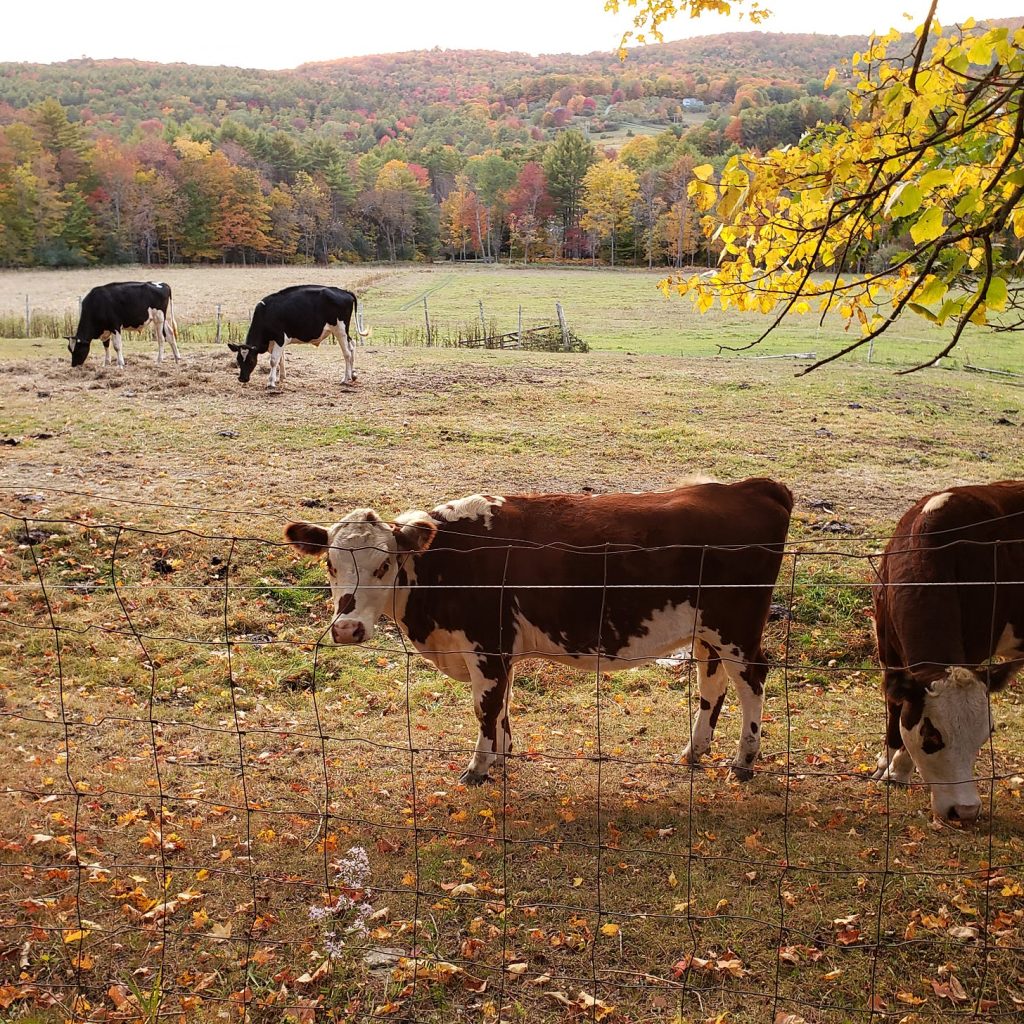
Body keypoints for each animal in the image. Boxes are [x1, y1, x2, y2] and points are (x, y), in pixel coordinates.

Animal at [227, 285, 363, 387]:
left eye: (251, 360)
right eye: (238, 359)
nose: (242, 379)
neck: (266, 313)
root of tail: (345, 292)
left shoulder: (281, 338)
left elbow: (273, 360)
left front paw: (271, 382)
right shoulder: (275, 341)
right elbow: (280, 358)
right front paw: (280, 378)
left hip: (340, 330)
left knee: (347, 353)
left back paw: (345, 379)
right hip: (344, 332)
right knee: (352, 346)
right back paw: (353, 375)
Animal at [284, 478, 794, 786]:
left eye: (383, 565)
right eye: (330, 565)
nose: (347, 628)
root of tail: (750, 488)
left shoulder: (486, 646)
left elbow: (486, 708)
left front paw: (478, 767)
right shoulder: (499, 652)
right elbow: (503, 704)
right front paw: (502, 755)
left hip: (737, 628)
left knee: (752, 681)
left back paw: (743, 761)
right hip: (708, 632)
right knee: (713, 684)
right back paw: (694, 752)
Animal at [871, 481, 1024, 824]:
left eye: (984, 736)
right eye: (932, 738)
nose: (965, 810)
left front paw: (899, 770)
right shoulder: (886, 642)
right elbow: (894, 705)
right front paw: (887, 760)